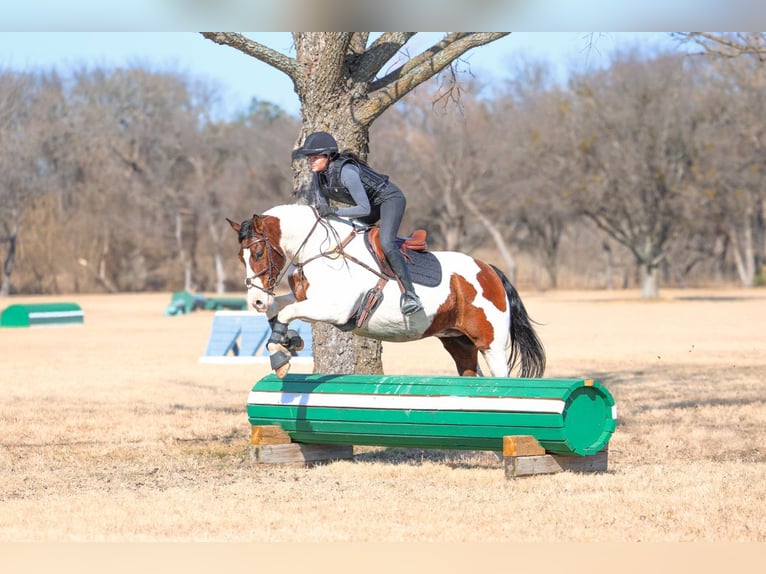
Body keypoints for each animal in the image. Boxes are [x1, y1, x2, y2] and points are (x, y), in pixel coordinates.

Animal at [227, 204, 545, 380]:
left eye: (258, 253)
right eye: (240, 256)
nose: (255, 300)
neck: (321, 249)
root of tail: (490, 270)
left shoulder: (334, 308)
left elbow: (288, 312)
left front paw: (281, 355)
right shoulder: (307, 297)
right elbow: (279, 308)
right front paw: (285, 341)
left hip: (491, 343)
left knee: (500, 378)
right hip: (458, 342)